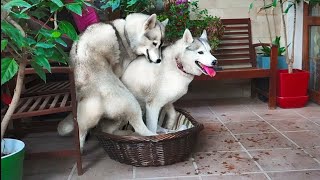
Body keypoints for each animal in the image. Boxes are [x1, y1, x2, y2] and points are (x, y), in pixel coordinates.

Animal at [56, 13, 169, 150]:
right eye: (154, 43)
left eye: (161, 45)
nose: (159, 60)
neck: (126, 33)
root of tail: (96, 98)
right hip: (132, 104)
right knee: (140, 129)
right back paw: (153, 134)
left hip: (86, 119)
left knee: (99, 130)